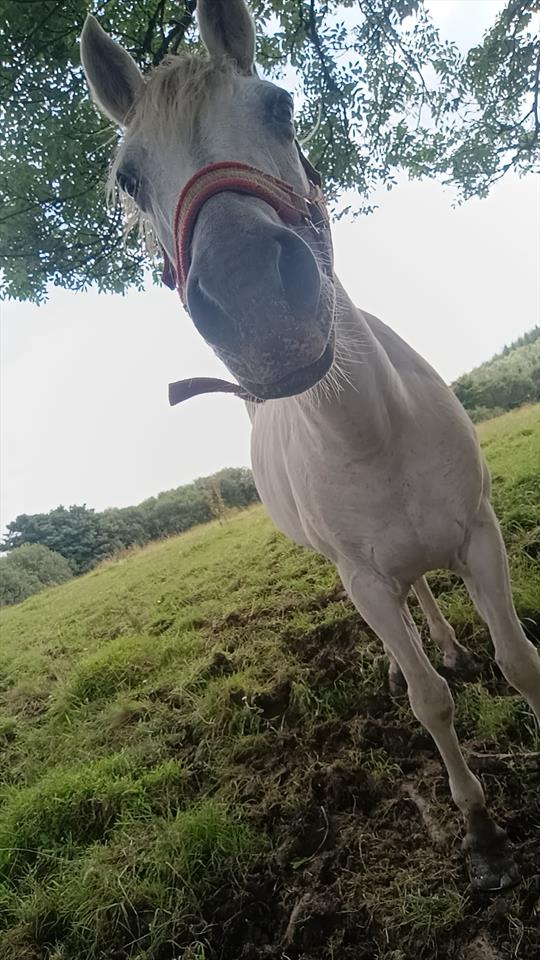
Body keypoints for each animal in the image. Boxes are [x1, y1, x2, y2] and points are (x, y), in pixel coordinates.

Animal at [80, 0, 540, 891]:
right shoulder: (362, 580)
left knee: (425, 592)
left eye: (280, 108)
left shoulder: (481, 535)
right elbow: (430, 702)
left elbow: (519, 660)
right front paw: (482, 835)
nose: (255, 299)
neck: (372, 432)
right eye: (129, 177)